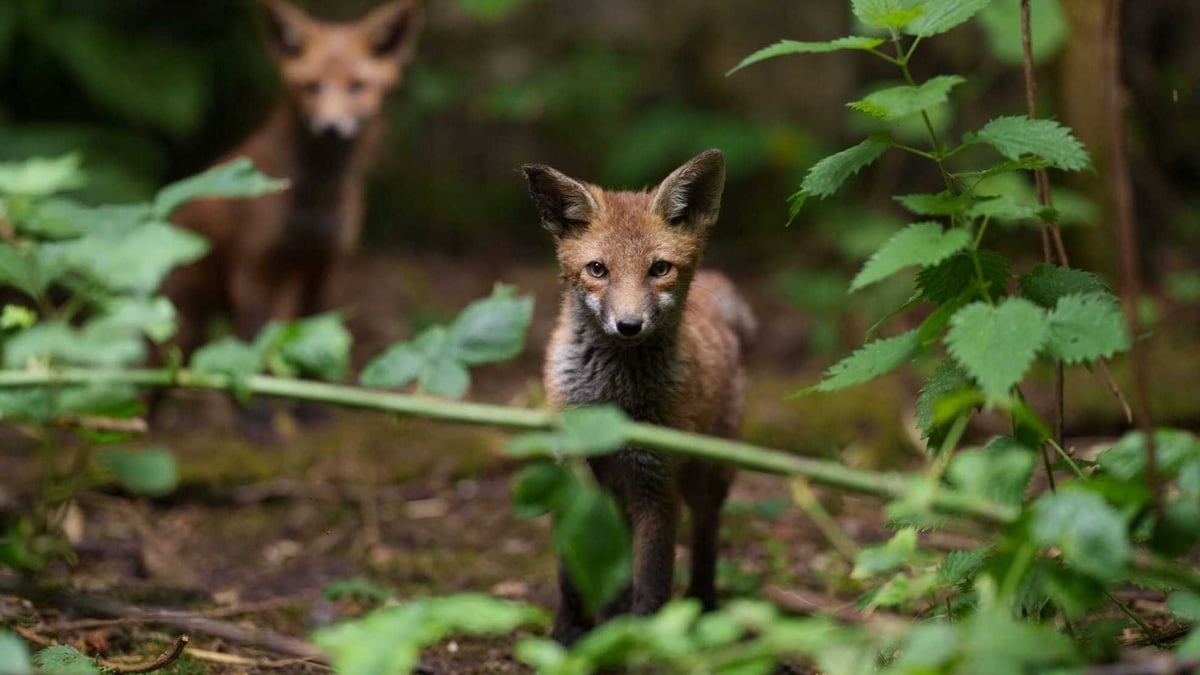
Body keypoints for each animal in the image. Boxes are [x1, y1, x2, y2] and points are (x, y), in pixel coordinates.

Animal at [157, 0, 423, 431]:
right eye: (311, 86)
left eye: (357, 86)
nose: (331, 128)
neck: (313, 202)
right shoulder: (251, 270)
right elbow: (250, 350)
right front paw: (256, 421)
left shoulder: (325, 264)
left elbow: (315, 337)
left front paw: (312, 407)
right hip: (181, 323)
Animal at [522, 149, 756, 643]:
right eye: (597, 269)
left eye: (659, 268)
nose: (628, 325)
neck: (613, 400)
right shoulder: (574, 477)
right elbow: (573, 575)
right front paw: (568, 636)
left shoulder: (655, 483)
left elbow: (653, 580)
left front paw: (647, 642)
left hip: (708, 475)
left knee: (706, 538)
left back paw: (702, 605)